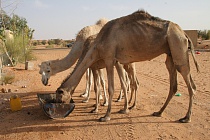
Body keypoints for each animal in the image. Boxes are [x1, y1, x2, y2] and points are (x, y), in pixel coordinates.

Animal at [56, 10, 200, 122]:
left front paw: (105, 116)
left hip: (178, 45)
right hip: (170, 53)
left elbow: (110, 88)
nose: (58, 108)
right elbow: (114, 85)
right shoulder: (109, 62)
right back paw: (158, 112)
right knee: (173, 85)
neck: (96, 45)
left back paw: (186, 118)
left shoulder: (109, 59)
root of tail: (184, 33)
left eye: (59, 97)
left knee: (191, 85)